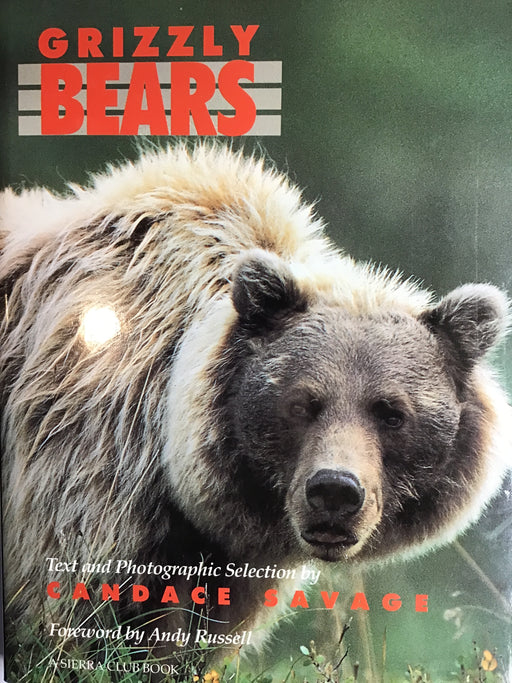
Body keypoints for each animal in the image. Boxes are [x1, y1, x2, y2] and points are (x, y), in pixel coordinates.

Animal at [0, 144, 510, 678]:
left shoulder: (225, 565)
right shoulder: (87, 467)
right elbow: (72, 619)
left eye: (391, 412)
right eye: (302, 403)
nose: (335, 491)